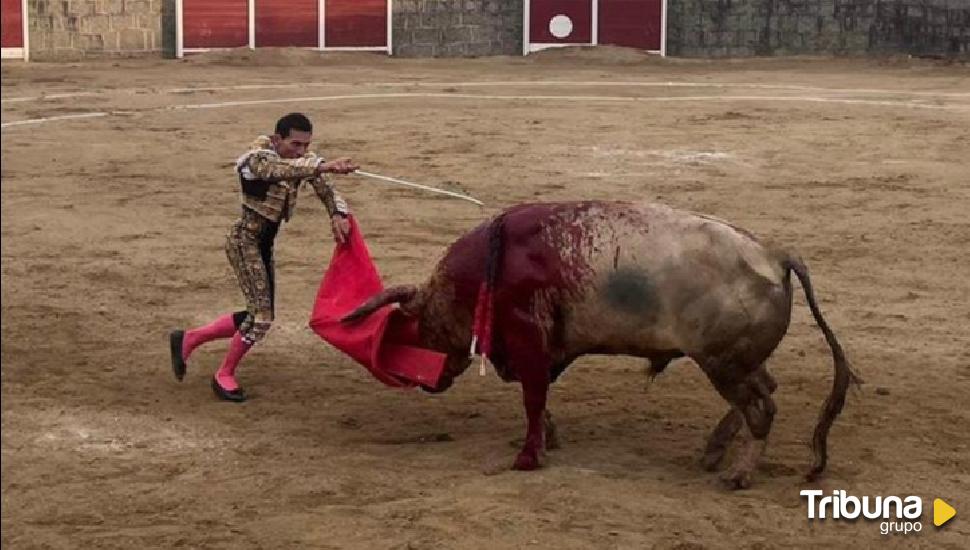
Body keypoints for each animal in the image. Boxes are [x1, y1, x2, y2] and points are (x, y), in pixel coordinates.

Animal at [344, 201, 860, 490]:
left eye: (422, 326)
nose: (427, 383)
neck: (490, 265)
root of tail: (774, 254)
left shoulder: (529, 341)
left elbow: (533, 397)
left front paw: (528, 457)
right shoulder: (539, 350)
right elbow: (537, 399)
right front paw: (545, 438)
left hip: (722, 363)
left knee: (761, 408)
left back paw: (738, 474)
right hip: (736, 361)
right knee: (763, 391)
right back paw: (715, 452)